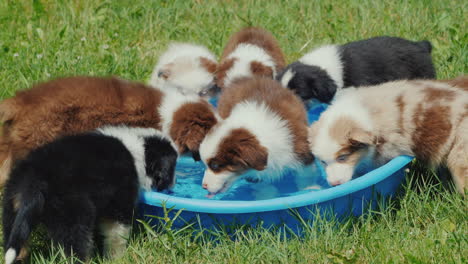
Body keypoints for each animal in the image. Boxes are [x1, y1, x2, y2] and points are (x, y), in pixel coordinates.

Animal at [2, 126, 177, 264]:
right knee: (75, 248)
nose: (172, 186)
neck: (140, 148)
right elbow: (116, 234)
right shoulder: (119, 204)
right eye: (171, 169)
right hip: (74, 213)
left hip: (11, 208)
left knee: (16, 241)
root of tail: (35, 180)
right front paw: (117, 258)